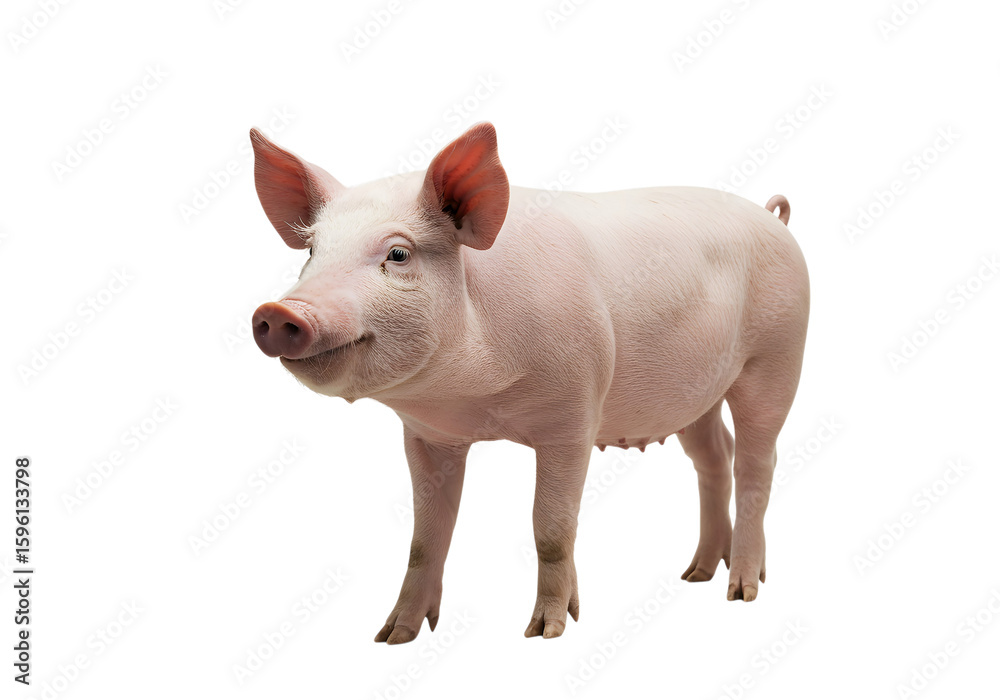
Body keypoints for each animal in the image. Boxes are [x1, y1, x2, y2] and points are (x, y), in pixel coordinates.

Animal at [249, 122, 809, 644]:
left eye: (399, 254)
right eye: (311, 251)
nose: (279, 311)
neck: (476, 400)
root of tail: (772, 216)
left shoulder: (574, 416)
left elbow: (552, 529)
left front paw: (546, 631)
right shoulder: (427, 436)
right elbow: (425, 539)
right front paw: (393, 636)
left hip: (777, 357)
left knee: (758, 462)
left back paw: (741, 590)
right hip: (698, 396)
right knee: (714, 457)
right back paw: (695, 574)